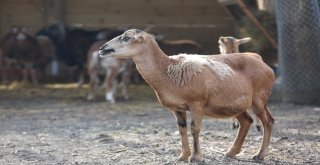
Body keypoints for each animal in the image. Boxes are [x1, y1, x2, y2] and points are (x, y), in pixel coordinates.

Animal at [99, 29, 276, 162]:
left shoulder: (196, 103)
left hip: (259, 98)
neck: (167, 70)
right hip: (234, 104)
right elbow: (182, 129)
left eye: (127, 38)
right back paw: (231, 153)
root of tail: (260, 59)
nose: (102, 49)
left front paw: (196, 157)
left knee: (268, 121)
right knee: (247, 121)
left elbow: (194, 128)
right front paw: (183, 156)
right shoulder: (177, 108)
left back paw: (260, 155)